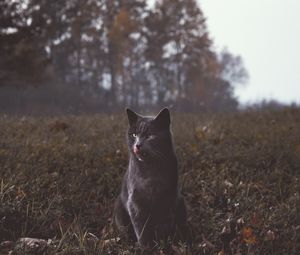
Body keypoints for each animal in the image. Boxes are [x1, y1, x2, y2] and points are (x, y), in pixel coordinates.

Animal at [114, 108, 188, 249]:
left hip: (181, 203)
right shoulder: (135, 202)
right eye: (133, 135)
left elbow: (163, 226)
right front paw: (146, 247)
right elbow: (141, 229)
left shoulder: (168, 198)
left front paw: (162, 245)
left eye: (149, 135)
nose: (137, 145)